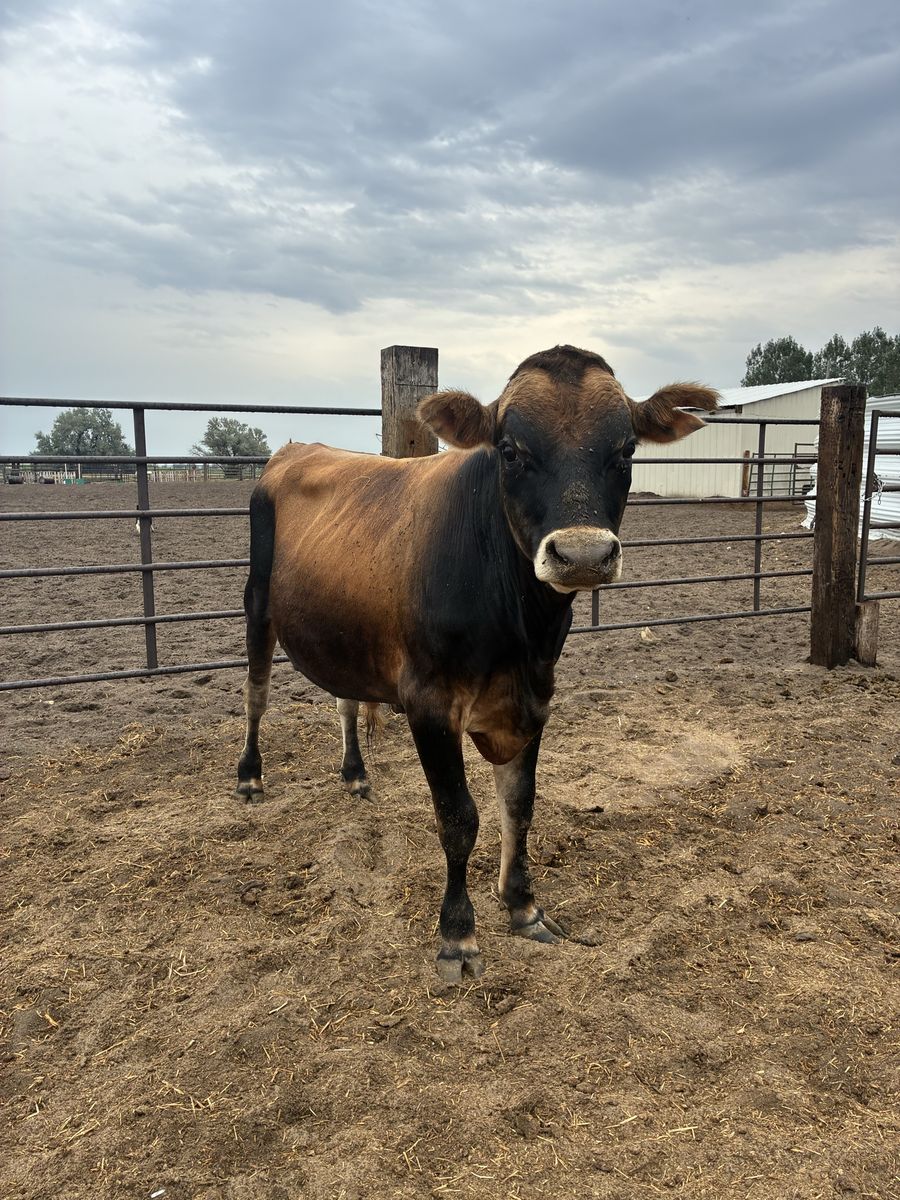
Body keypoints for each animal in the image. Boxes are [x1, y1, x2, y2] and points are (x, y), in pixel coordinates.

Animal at [236, 345, 717, 981]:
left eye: (627, 450)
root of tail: (293, 450)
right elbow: (459, 819)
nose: (583, 555)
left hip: (345, 628)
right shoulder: (430, 705)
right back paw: (249, 775)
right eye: (510, 450)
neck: (520, 632)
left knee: (344, 697)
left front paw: (524, 906)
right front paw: (457, 935)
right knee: (256, 693)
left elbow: (519, 805)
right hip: (257, 604)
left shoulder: (532, 700)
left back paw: (356, 773)